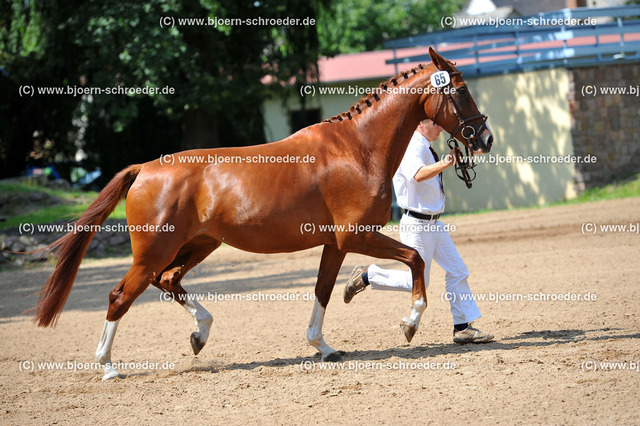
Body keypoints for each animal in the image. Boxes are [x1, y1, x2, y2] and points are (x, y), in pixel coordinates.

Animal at [35, 46, 496, 380]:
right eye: (460, 90)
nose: (485, 137)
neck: (357, 148)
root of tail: (145, 168)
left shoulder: (335, 244)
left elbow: (323, 290)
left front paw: (323, 347)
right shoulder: (356, 236)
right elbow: (416, 259)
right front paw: (410, 322)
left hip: (198, 245)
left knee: (167, 281)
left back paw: (200, 333)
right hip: (154, 251)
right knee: (121, 296)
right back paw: (109, 366)